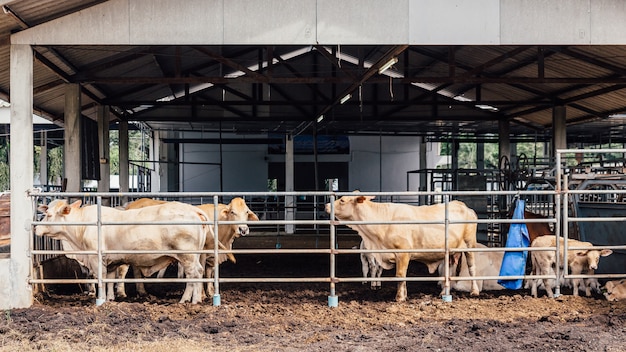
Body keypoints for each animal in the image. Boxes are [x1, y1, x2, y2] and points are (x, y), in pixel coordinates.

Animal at [36, 199, 207, 304]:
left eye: (48, 215)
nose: (36, 228)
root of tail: (193, 210)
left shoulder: (96, 259)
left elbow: (102, 278)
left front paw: (101, 299)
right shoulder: (112, 262)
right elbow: (111, 279)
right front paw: (110, 298)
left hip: (187, 256)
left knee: (194, 275)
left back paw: (190, 300)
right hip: (192, 256)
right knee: (197, 273)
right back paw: (194, 299)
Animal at [324, 192, 476, 302]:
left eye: (342, 200)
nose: (326, 205)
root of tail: (464, 206)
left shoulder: (402, 253)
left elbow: (400, 275)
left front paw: (400, 297)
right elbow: (402, 277)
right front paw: (404, 294)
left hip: (470, 245)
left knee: (471, 267)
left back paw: (474, 291)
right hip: (450, 251)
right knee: (448, 271)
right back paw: (444, 292)